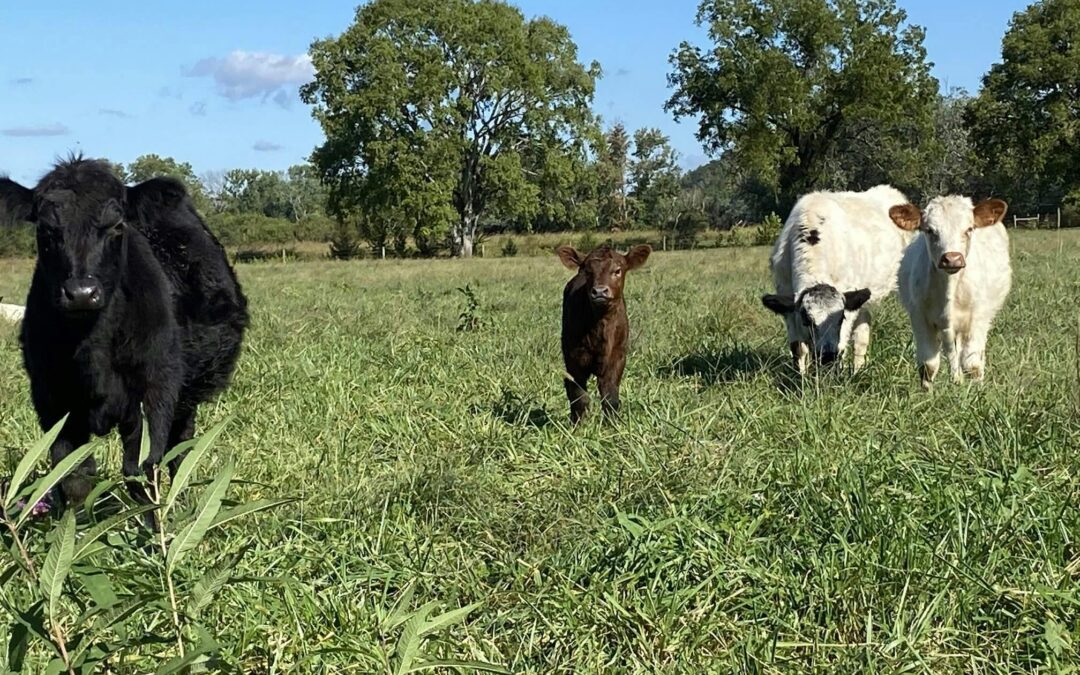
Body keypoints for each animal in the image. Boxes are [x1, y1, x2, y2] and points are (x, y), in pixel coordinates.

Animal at [0, 156, 248, 527]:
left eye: (117, 227)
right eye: (45, 230)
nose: (81, 293)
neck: (91, 348)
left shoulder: (154, 393)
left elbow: (142, 471)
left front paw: (152, 534)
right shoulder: (52, 400)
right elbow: (72, 477)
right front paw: (76, 532)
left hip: (188, 395)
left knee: (180, 449)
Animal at [556, 244, 651, 424]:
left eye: (617, 270)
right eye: (588, 271)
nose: (599, 291)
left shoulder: (617, 357)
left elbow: (610, 395)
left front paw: (611, 425)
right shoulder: (574, 358)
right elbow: (579, 395)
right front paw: (579, 425)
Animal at [762, 185, 914, 374]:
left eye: (841, 318)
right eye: (807, 320)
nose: (828, 356)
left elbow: (842, 343)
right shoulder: (787, 298)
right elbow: (798, 348)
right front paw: (801, 377)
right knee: (863, 330)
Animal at [889, 196, 1010, 390]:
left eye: (969, 229)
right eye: (930, 230)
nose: (952, 259)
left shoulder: (978, 317)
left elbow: (972, 364)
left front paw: (977, 392)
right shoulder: (919, 317)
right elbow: (928, 365)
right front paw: (927, 393)